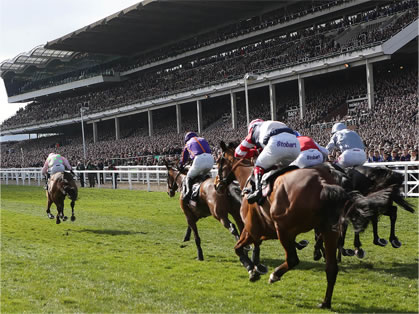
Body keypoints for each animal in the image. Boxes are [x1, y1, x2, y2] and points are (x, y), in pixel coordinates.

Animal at [217, 142, 394, 310]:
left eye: (219, 161)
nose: (218, 184)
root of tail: (323, 183)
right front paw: (255, 266)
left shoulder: (252, 231)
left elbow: (238, 248)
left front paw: (252, 271)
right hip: (329, 231)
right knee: (331, 268)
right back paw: (325, 302)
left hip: (284, 230)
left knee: (293, 259)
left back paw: (275, 275)